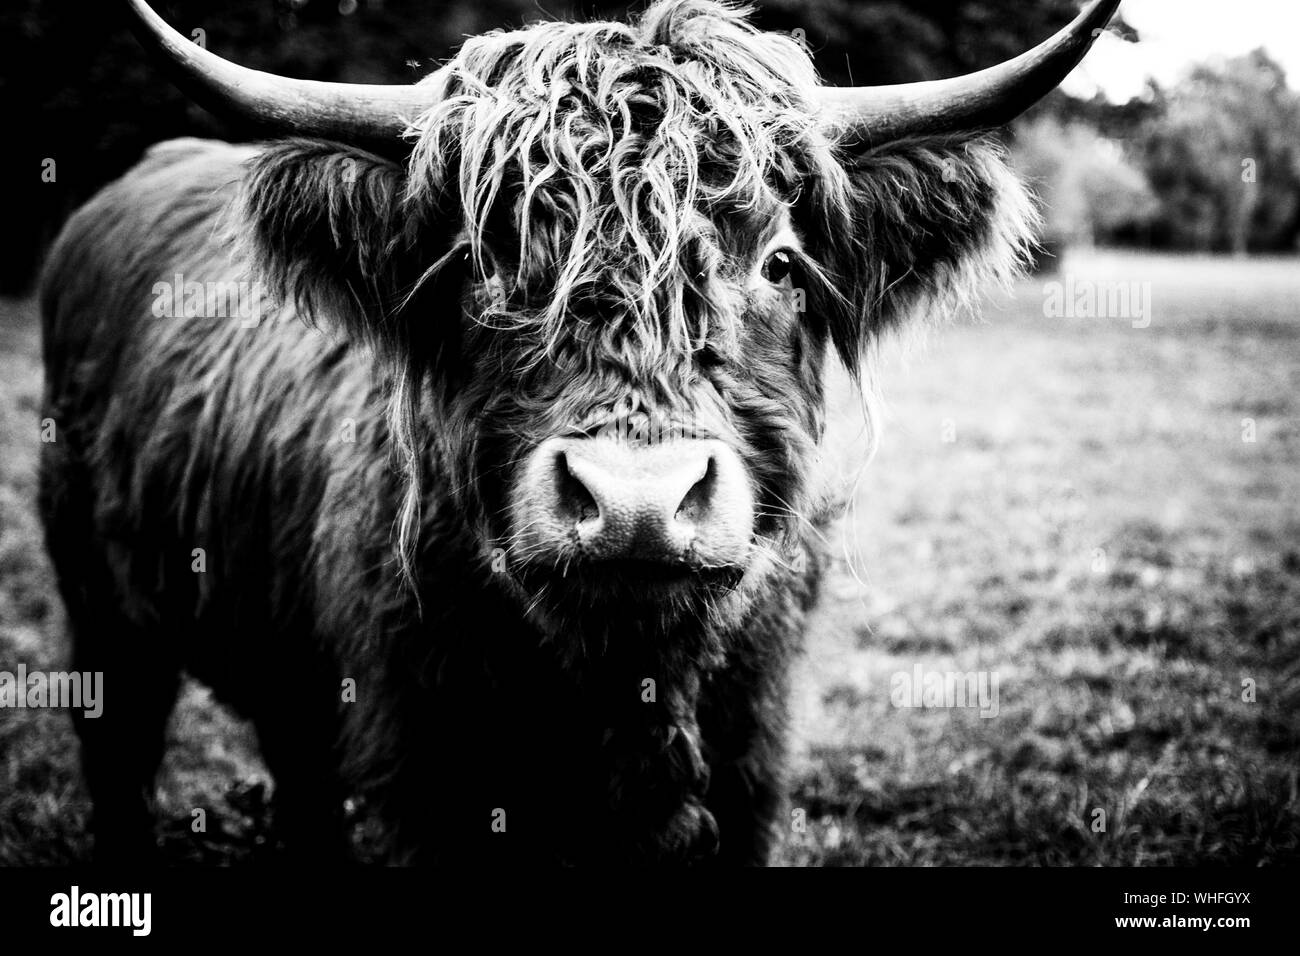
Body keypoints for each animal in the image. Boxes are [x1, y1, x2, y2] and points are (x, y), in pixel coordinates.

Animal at [39, 0, 1119, 864]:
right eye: (480, 264)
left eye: (778, 263)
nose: (637, 502)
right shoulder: (422, 767)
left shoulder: (750, 766)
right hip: (101, 604)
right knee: (121, 747)